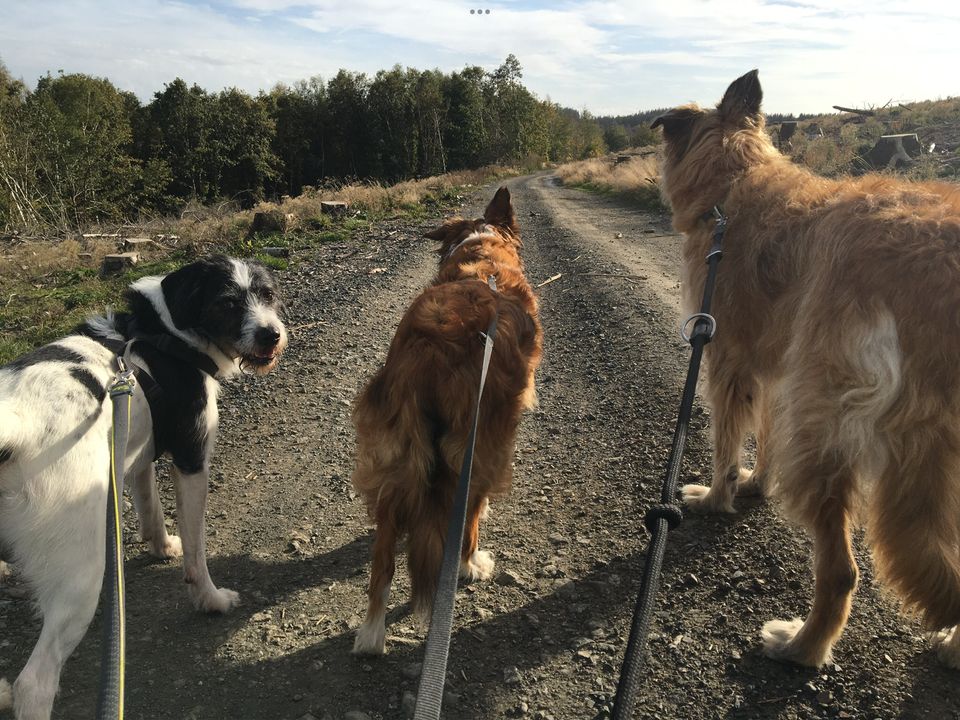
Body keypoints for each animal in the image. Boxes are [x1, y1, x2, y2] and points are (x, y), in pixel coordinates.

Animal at [0, 256, 286, 716]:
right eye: (226, 302)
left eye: (268, 293)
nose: (271, 334)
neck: (165, 335)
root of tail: (15, 430)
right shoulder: (192, 461)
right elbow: (197, 552)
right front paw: (210, 600)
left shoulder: (135, 454)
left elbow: (151, 507)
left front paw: (160, 546)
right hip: (81, 576)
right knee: (36, 683)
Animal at [350, 187, 540, 660]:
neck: (484, 253)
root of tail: (429, 352)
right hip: (481, 443)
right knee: (466, 514)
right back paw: (470, 564)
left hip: (397, 446)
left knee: (384, 555)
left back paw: (372, 634)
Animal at [656, 70, 960, 668]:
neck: (734, 181)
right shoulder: (774, 372)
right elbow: (765, 438)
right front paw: (756, 485)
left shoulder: (725, 360)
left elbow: (727, 444)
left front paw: (717, 499)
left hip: (825, 424)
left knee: (842, 571)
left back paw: (801, 645)